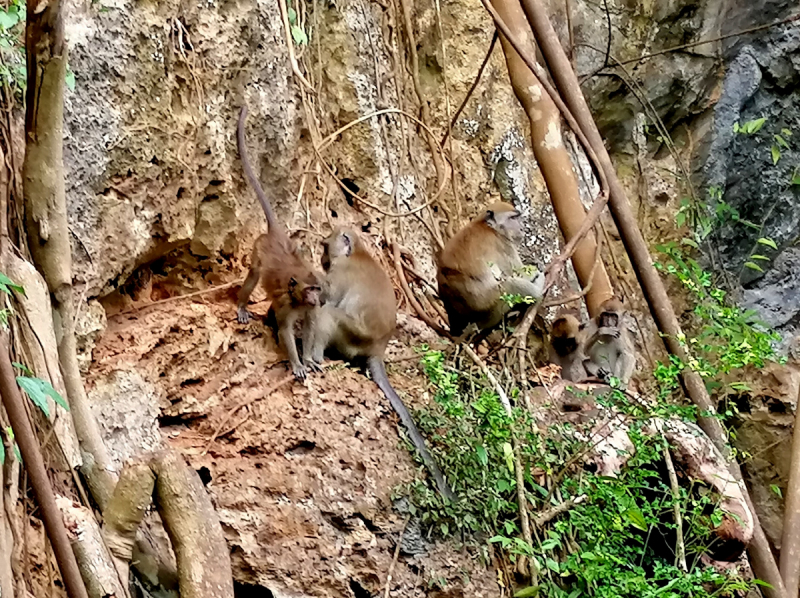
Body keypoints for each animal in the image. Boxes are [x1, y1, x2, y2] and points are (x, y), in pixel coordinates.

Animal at [234, 103, 322, 382]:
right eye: (309, 289)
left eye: (318, 289)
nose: (316, 299)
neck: (298, 298)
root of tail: (275, 234)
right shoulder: (287, 303)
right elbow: (286, 331)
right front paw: (297, 363)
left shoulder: (310, 308)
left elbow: (310, 326)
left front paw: (308, 359)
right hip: (258, 250)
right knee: (254, 274)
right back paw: (242, 305)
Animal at [306, 229, 456, 502]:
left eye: (325, 246)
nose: (322, 259)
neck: (358, 252)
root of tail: (377, 349)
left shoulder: (341, 272)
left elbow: (327, 297)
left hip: (350, 335)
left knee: (329, 312)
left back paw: (316, 358)